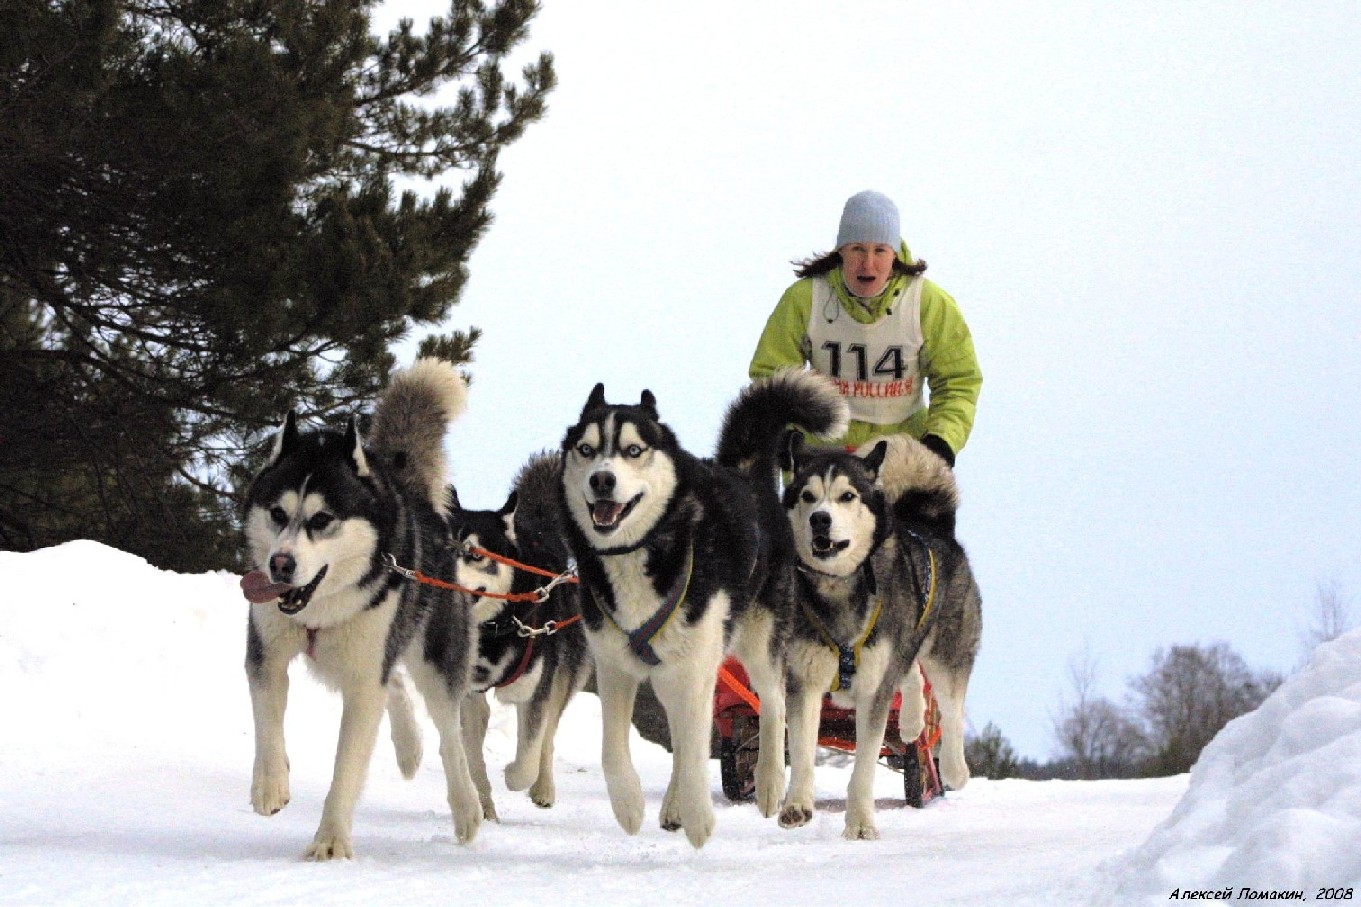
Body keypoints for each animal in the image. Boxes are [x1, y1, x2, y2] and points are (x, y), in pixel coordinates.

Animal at [240, 356, 484, 860]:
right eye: (277, 513)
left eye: (322, 519)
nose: (279, 564)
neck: (318, 610)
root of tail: (409, 491)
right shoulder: (267, 655)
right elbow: (268, 725)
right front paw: (270, 785)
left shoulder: (363, 680)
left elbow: (346, 767)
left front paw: (330, 839)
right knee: (395, 685)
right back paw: (408, 747)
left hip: (434, 655)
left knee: (449, 735)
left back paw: (467, 807)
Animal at [449, 452, 593, 817]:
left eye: (475, 554)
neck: (494, 629)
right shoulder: (467, 693)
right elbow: (473, 757)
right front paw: (483, 803)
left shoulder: (536, 690)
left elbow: (527, 758)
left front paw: (514, 774)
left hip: (564, 675)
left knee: (548, 736)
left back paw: (543, 788)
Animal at [558, 370, 843, 849]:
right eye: (587, 449)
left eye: (633, 450)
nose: (602, 480)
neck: (641, 551)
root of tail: (747, 476)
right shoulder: (614, 665)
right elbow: (613, 749)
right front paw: (629, 805)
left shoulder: (694, 667)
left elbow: (694, 750)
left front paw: (698, 816)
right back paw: (673, 803)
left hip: (757, 639)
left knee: (773, 703)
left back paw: (768, 784)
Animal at [783, 430, 985, 833]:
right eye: (808, 496)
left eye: (847, 496)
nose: (820, 519)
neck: (839, 586)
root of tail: (930, 524)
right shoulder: (804, 679)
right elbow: (801, 749)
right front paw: (797, 804)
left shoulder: (873, 691)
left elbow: (863, 768)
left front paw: (860, 824)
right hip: (900, 641)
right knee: (910, 675)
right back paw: (910, 722)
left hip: (946, 652)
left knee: (951, 707)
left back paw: (954, 768)